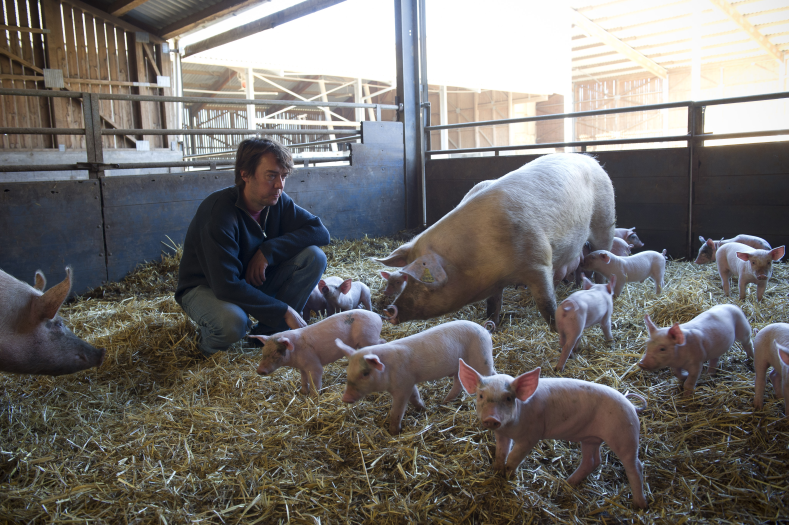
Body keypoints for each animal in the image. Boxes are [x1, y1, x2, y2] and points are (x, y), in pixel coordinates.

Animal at [252, 310, 384, 396]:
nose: (259, 370)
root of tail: (377, 315)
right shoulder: (302, 367)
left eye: (276, 352)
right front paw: (302, 392)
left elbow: (315, 381)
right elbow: (304, 379)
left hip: (369, 338)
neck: (295, 353)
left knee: (381, 342)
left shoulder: (314, 365)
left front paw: (313, 397)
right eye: (263, 351)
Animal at [338, 320, 492, 434]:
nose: (345, 398)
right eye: (348, 371)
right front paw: (423, 409)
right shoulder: (409, 382)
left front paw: (393, 432)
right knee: (458, 383)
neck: (389, 369)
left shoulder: (403, 386)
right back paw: (444, 403)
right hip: (459, 367)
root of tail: (484, 330)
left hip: (482, 357)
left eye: (365, 373)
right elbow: (415, 397)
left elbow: (397, 411)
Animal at [458, 360, 644, 508]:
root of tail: (632, 406)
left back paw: (639, 505)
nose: (491, 418)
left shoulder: (531, 436)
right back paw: (567, 482)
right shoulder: (502, 433)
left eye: (509, 398)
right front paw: (497, 472)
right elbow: (500, 453)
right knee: (592, 461)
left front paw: (508, 475)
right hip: (590, 439)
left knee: (635, 465)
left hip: (624, 435)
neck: (511, 427)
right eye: (481, 396)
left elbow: (513, 458)